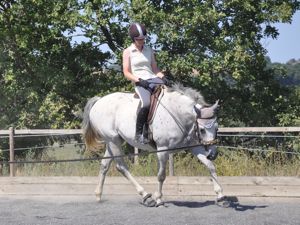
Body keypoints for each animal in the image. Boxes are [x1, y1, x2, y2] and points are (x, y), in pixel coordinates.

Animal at [81, 83, 229, 207]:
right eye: (202, 130)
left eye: (217, 128)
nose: (213, 154)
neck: (177, 114)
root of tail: (99, 101)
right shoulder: (163, 149)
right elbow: (161, 175)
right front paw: (158, 199)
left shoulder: (194, 146)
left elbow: (210, 166)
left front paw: (220, 196)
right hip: (113, 141)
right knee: (121, 167)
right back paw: (146, 196)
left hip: (113, 141)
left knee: (104, 165)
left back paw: (98, 195)